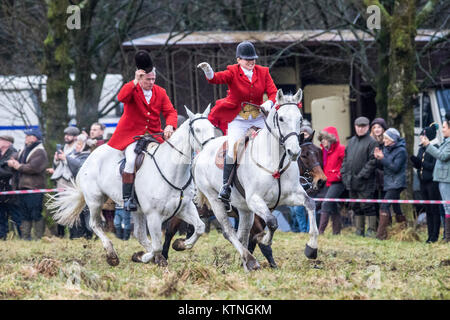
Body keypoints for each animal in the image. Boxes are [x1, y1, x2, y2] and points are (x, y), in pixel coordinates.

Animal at [48, 106, 217, 266]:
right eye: (197, 130)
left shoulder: (184, 208)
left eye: (212, 127)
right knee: (95, 225)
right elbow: (157, 245)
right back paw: (112, 255)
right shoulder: (154, 215)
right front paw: (147, 257)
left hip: (137, 210)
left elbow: (200, 228)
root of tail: (91, 155)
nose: (210, 149)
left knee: (139, 234)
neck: (172, 171)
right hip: (95, 200)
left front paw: (179, 244)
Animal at [195, 89, 318, 272]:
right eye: (281, 118)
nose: (294, 152)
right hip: (216, 201)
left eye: (300, 119)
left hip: (244, 209)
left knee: (242, 234)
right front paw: (264, 240)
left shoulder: (291, 196)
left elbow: (310, 204)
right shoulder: (255, 200)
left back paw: (247, 263)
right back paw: (250, 260)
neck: (275, 162)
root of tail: (202, 151)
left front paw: (312, 248)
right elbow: (272, 222)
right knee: (229, 231)